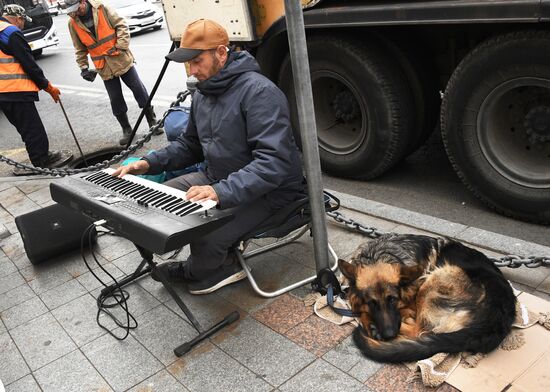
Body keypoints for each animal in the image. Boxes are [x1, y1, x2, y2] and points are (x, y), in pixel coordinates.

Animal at [340, 234, 516, 362]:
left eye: (393, 299)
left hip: (434, 278)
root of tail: (495, 321)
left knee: (419, 330)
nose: (389, 335)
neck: (378, 255)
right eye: (371, 303)